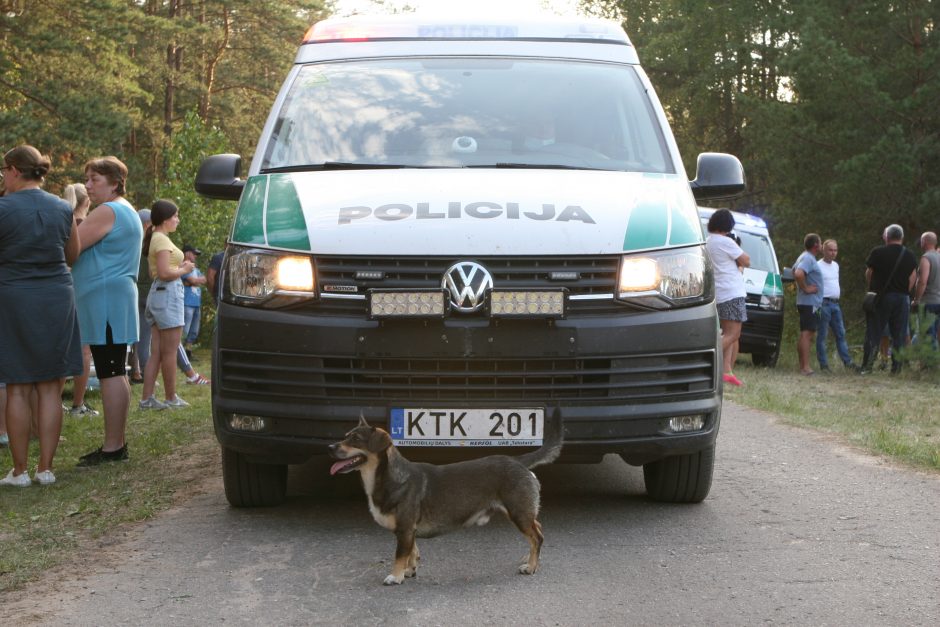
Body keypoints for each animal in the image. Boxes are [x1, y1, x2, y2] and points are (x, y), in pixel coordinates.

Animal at [326, 410, 560, 588]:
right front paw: (410, 570)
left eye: (356, 439)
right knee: (536, 529)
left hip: (518, 513)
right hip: (521, 513)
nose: (330, 447)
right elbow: (412, 551)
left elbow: (400, 555)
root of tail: (518, 461)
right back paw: (529, 558)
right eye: (345, 436)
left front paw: (396, 576)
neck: (388, 478)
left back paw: (531, 566)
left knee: (537, 537)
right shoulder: (409, 531)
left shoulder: (404, 529)